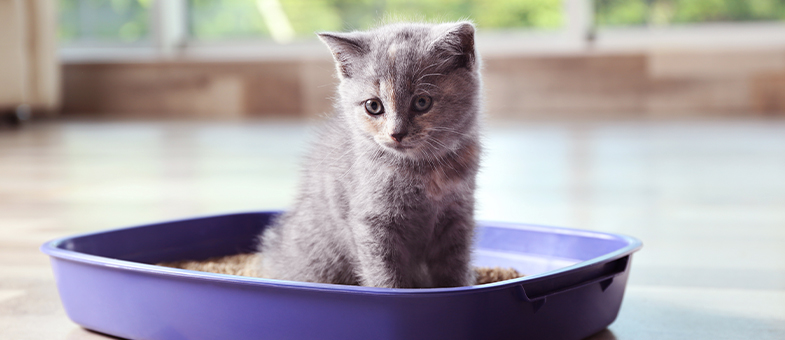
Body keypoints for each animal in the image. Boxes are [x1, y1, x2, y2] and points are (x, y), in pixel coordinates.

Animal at [258, 21, 478, 288]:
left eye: (422, 102)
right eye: (373, 106)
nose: (397, 133)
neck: (422, 171)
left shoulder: (458, 216)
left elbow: (455, 267)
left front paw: (459, 287)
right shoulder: (372, 223)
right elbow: (385, 273)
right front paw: (394, 291)